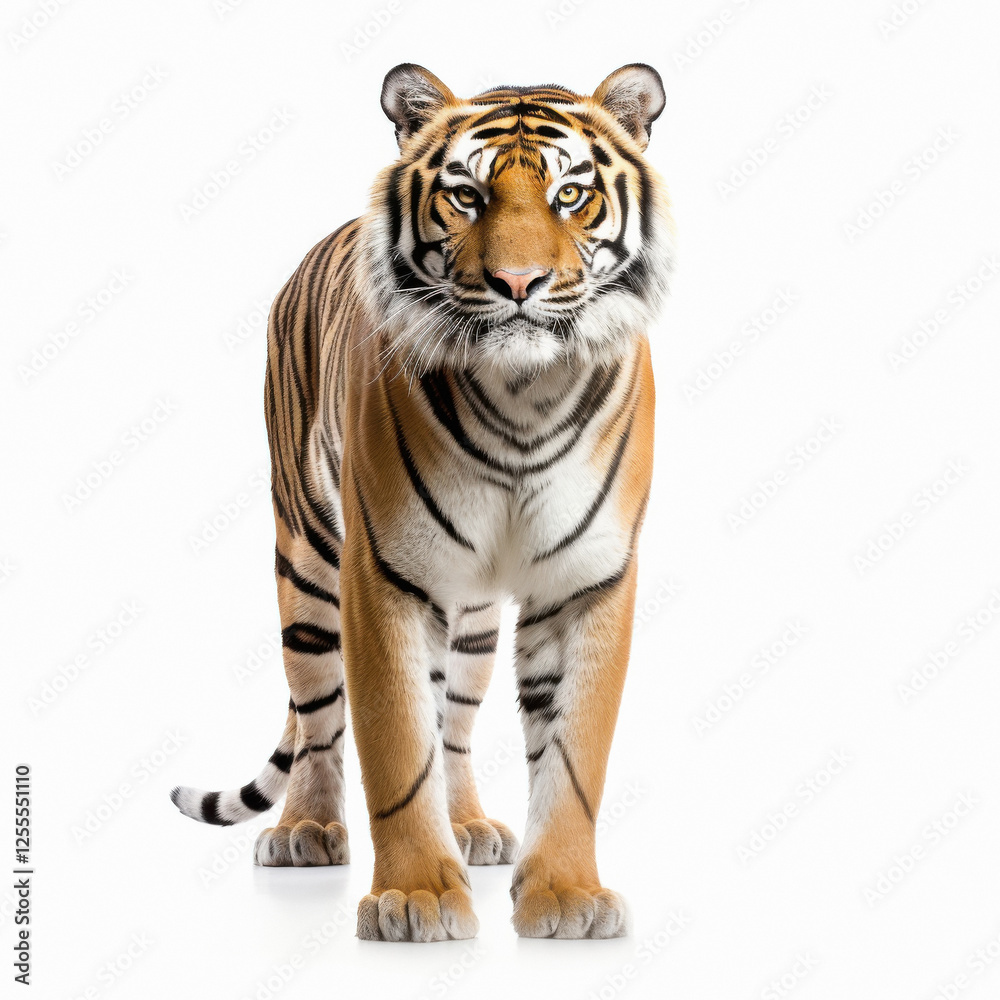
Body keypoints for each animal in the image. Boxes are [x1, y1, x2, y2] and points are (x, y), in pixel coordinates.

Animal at [171, 62, 675, 942]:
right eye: (467, 196)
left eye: (570, 195)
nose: (518, 284)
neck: (523, 394)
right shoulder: (384, 575)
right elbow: (398, 744)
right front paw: (416, 898)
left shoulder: (587, 579)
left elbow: (572, 752)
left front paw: (566, 896)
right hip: (306, 562)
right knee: (318, 715)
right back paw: (306, 830)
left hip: (469, 618)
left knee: (459, 722)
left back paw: (469, 824)